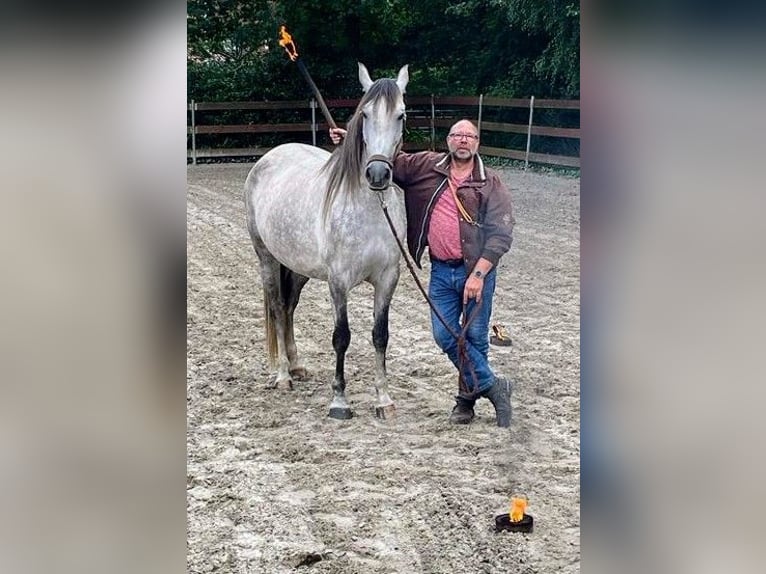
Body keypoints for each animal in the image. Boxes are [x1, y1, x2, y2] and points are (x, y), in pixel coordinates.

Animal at [249, 64, 412, 418]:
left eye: (401, 115)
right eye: (364, 114)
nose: (377, 175)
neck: (369, 209)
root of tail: (269, 157)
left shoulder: (388, 278)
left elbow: (381, 335)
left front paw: (384, 399)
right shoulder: (338, 281)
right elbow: (342, 337)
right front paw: (339, 400)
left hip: (298, 269)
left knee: (289, 308)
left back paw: (297, 366)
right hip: (267, 259)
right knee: (278, 308)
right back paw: (283, 375)